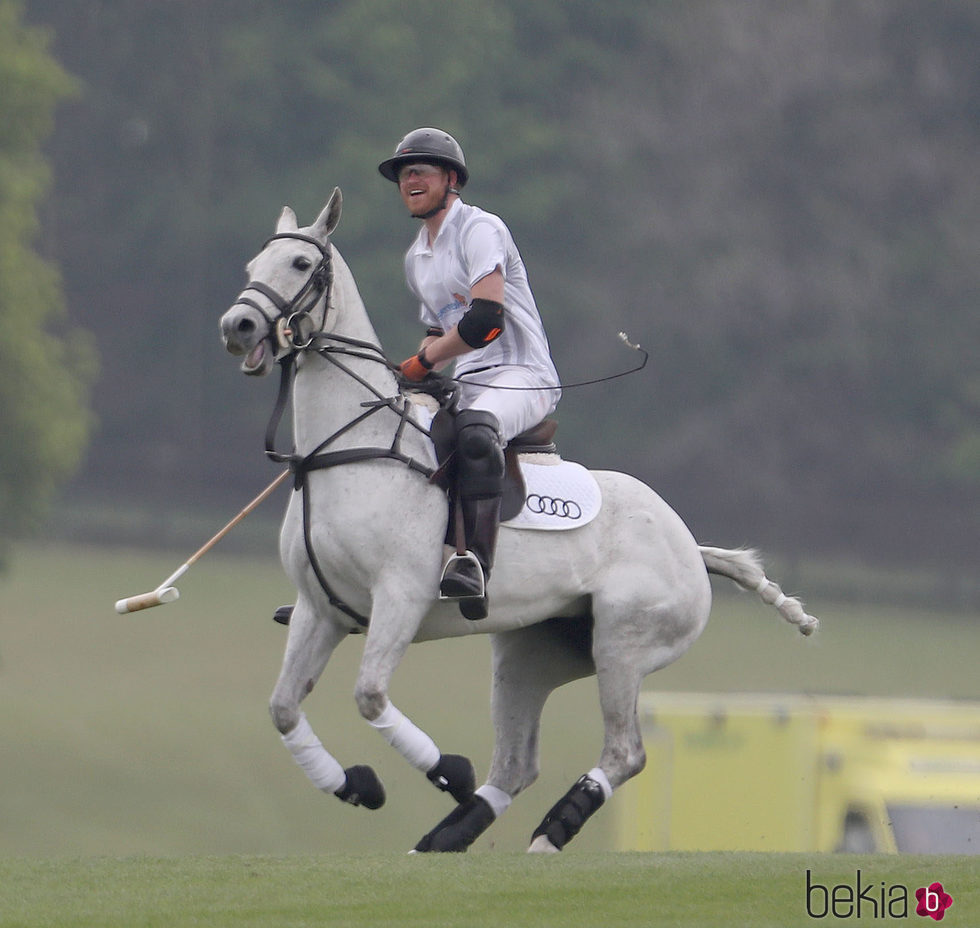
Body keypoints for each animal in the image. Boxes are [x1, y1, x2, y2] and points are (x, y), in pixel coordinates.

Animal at [218, 190, 816, 856]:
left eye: (300, 263)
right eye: (252, 266)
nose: (237, 326)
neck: (347, 448)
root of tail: (688, 543)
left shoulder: (398, 596)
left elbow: (370, 696)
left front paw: (447, 769)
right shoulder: (319, 608)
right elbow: (283, 708)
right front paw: (360, 786)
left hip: (624, 642)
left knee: (624, 752)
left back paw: (549, 833)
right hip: (531, 653)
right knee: (515, 764)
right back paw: (443, 840)